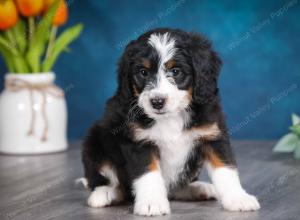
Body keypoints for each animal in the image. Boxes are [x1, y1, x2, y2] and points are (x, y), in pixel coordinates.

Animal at [81, 27, 260, 217]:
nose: (157, 101)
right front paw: (152, 203)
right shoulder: (139, 142)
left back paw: (198, 188)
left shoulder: (213, 134)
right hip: (94, 142)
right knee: (112, 183)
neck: (171, 116)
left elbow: (225, 168)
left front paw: (238, 198)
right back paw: (104, 193)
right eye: (143, 72)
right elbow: (148, 173)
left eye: (175, 71)